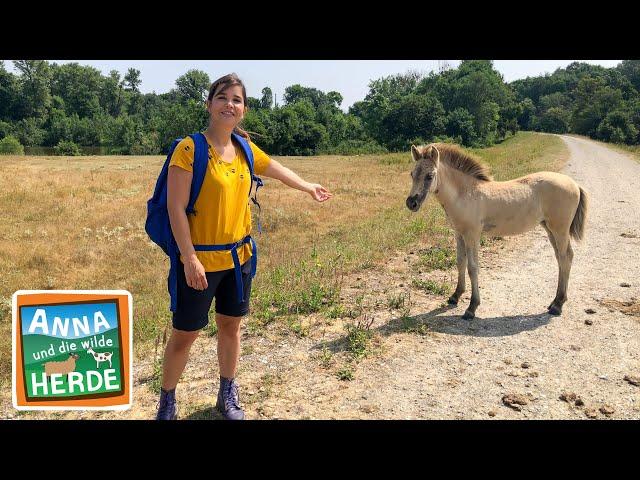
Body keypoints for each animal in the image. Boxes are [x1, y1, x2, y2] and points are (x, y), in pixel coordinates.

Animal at [408, 144, 588, 320]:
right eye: (412, 174)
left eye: (430, 176)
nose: (411, 203)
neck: (465, 193)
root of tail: (574, 184)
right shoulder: (459, 234)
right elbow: (460, 262)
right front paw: (455, 296)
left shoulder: (472, 235)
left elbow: (473, 267)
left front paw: (472, 308)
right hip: (550, 229)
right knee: (561, 258)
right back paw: (555, 301)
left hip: (560, 230)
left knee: (565, 258)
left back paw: (558, 305)